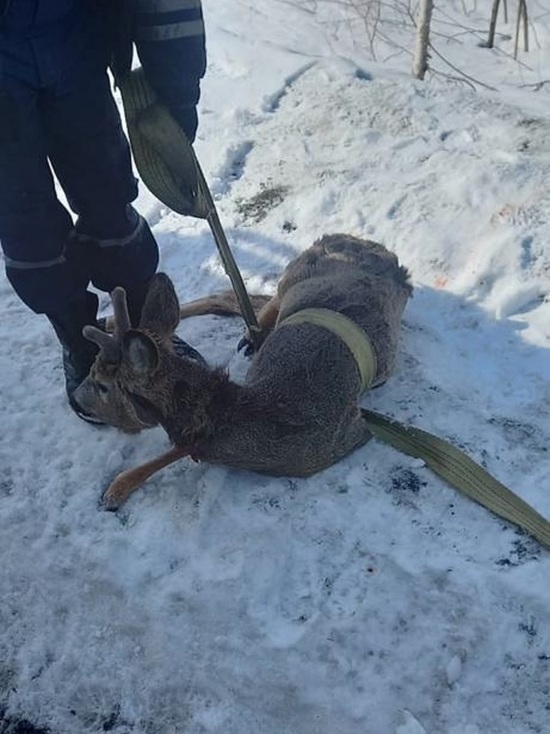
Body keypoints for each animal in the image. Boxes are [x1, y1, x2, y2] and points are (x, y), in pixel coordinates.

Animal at [74, 233, 414, 508]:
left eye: (102, 385)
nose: (76, 397)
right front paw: (116, 490)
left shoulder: (344, 438)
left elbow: (177, 450)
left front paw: (114, 491)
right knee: (240, 299)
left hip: (304, 275)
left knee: (242, 299)